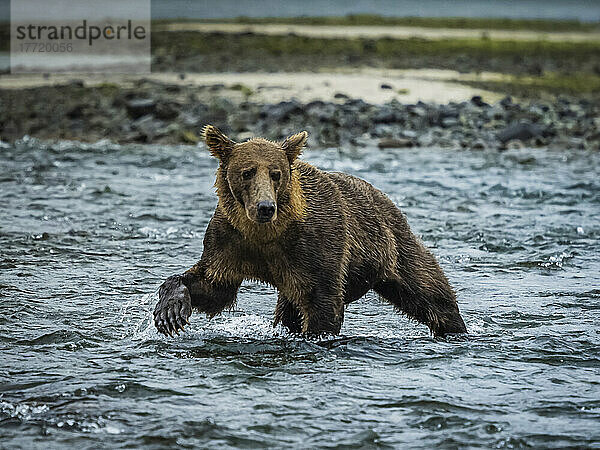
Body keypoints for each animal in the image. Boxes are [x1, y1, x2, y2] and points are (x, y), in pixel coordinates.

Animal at [152, 125, 466, 336]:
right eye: (247, 172)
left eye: (276, 173)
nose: (265, 207)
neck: (268, 234)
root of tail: (383, 197)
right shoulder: (230, 241)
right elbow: (214, 285)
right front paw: (170, 311)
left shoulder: (316, 245)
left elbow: (322, 302)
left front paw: (315, 335)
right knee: (288, 310)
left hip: (393, 245)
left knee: (430, 291)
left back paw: (455, 329)